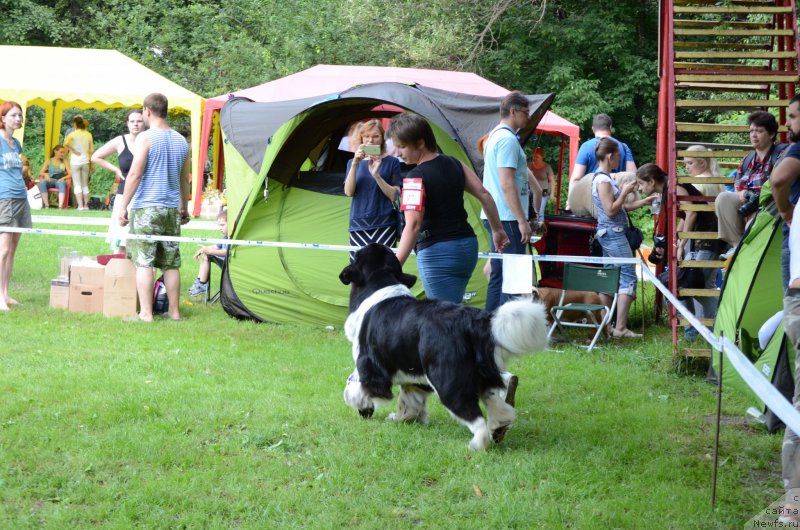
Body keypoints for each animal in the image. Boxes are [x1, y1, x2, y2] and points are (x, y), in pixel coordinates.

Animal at [338, 241, 552, 448]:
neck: (380, 281)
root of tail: (471, 318)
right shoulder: (411, 371)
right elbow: (408, 397)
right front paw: (402, 418)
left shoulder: (368, 362)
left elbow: (355, 383)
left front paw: (358, 402)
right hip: (482, 372)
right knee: (497, 402)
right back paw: (499, 426)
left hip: (447, 380)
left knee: (475, 417)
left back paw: (478, 444)